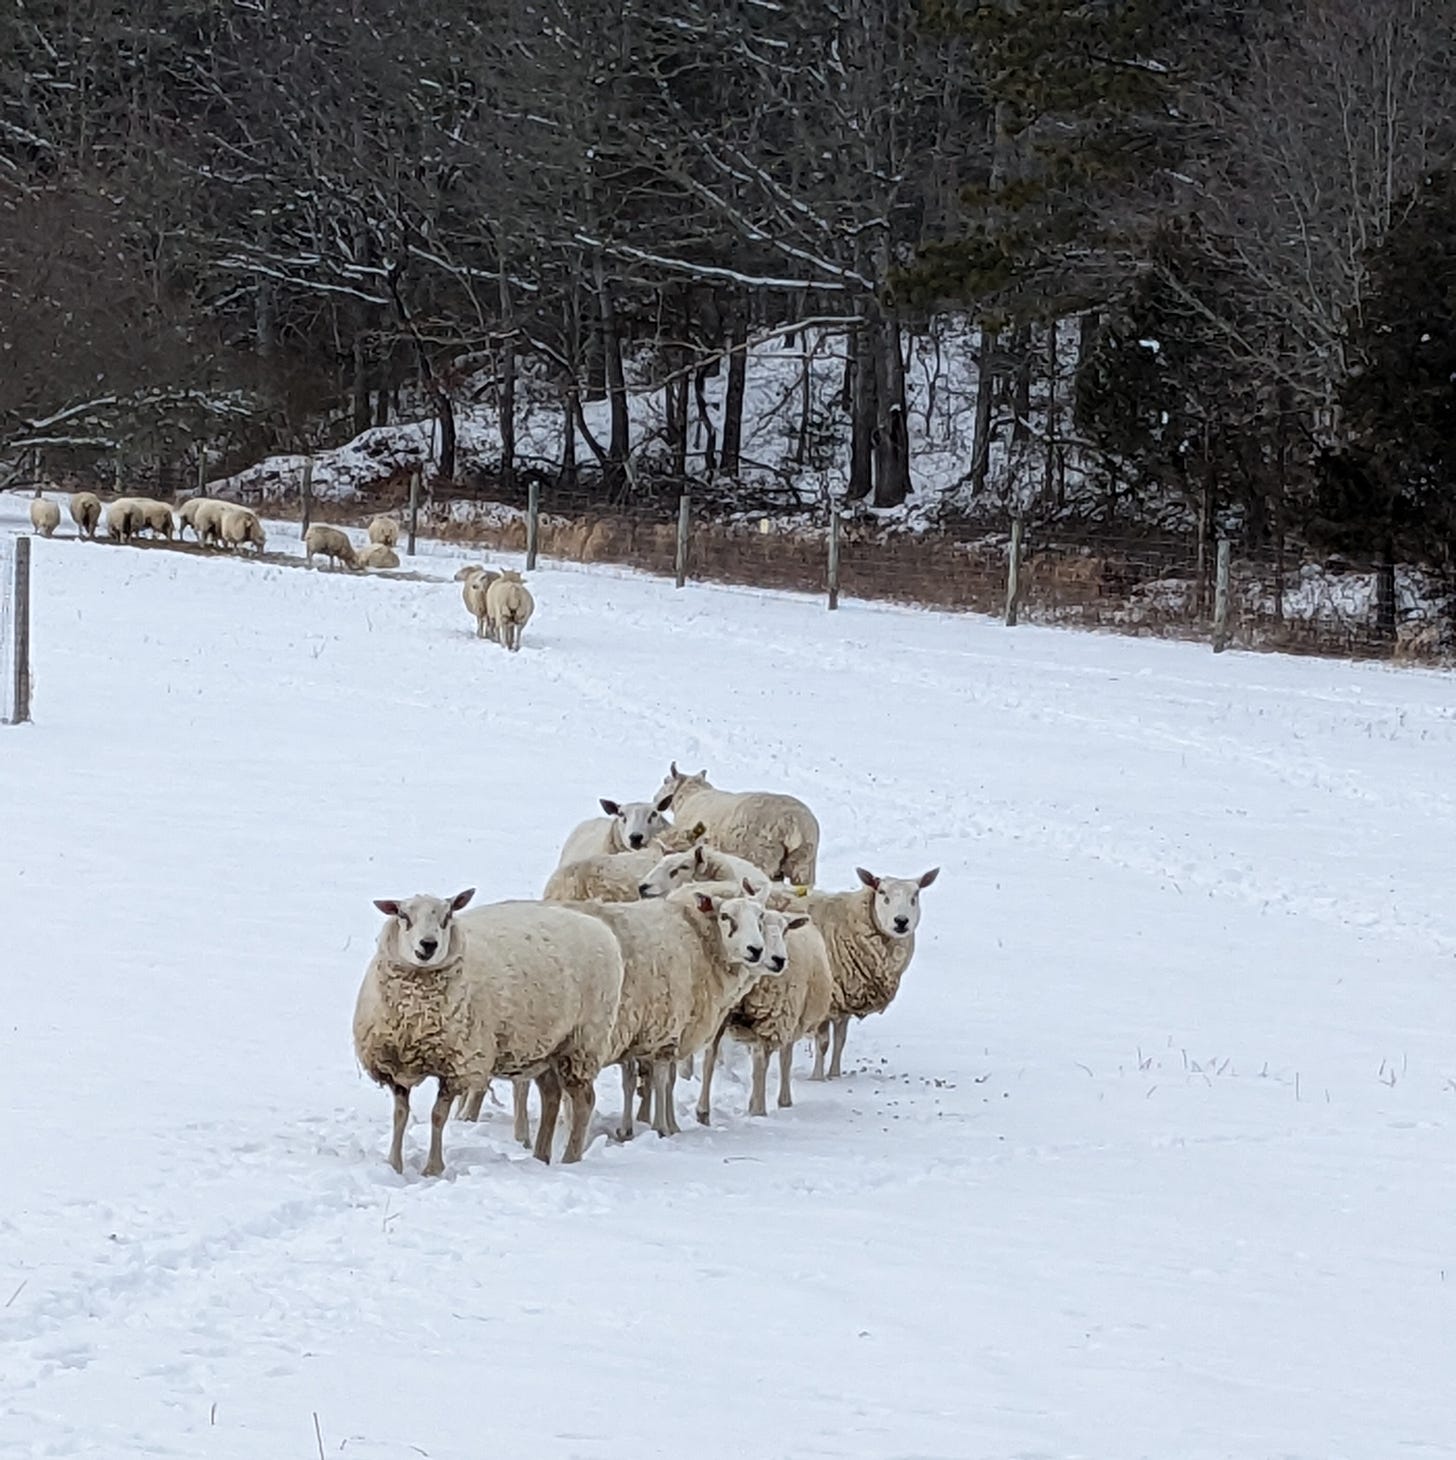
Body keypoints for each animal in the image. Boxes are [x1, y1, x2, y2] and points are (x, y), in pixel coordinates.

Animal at [353, 888, 625, 1174]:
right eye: (403, 916)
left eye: (447, 916)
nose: (428, 945)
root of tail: (599, 926)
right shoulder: (393, 1065)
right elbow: (400, 1116)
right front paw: (393, 1165)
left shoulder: (458, 1066)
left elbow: (438, 1116)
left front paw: (433, 1168)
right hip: (548, 1046)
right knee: (551, 1096)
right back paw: (540, 1157)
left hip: (583, 1042)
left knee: (584, 1101)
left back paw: (570, 1159)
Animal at [651, 761, 820, 886]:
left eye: (665, 780)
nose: (655, 798)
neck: (690, 795)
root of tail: (793, 823)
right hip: (804, 865)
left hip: (759, 858)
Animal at [695, 904, 831, 1124]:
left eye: (785, 930)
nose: (779, 960)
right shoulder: (720, 1018)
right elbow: (710, 1059)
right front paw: (702, 1113)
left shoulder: (772, 1024)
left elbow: (761, 1065)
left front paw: (758, 1111)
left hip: (790, 1018)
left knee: (783, 1058)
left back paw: (783, 1100)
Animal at [784, 866, 940, 1081]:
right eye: (882, 893)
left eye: (915, 895)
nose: (901, 921)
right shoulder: (826, 997)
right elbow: (823, 1043)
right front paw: (818, 1078)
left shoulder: (846, 996)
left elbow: (840, 1041)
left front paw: (835, 1075)